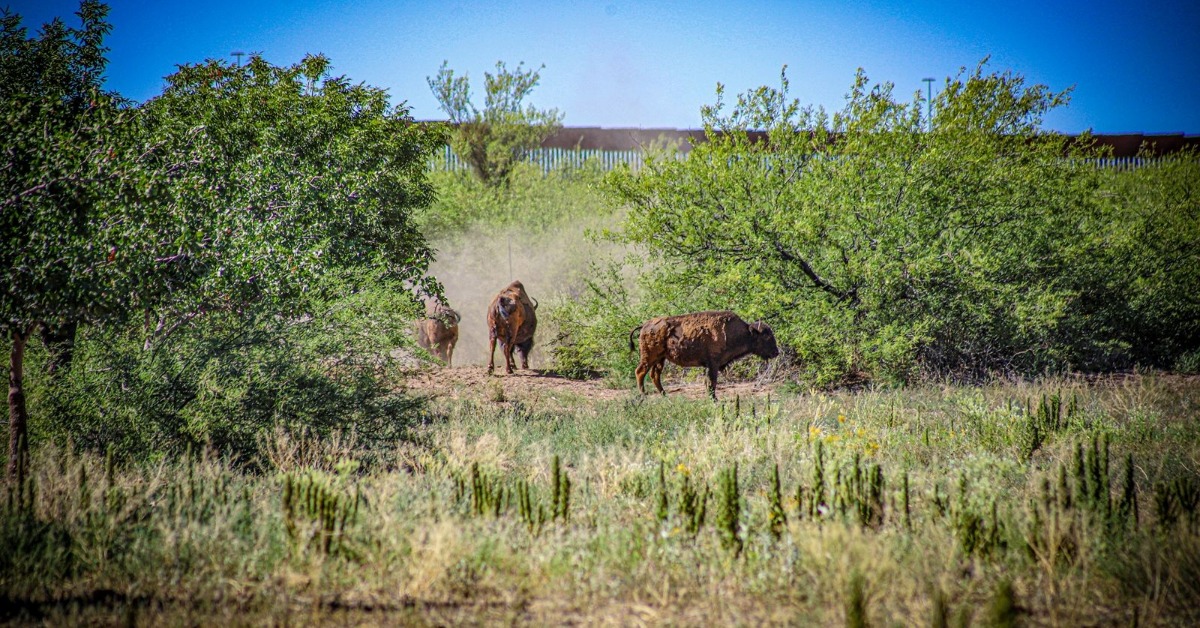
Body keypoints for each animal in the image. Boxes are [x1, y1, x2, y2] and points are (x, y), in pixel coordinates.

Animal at [629, 311, 778, 399]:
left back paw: (664, 394)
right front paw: (714, 399)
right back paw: (644, 394)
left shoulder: (709, 366)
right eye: (766, 336)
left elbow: (708, 383)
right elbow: (712, 383)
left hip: (660, 359)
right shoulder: (713, 364)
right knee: (640, 372)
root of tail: (645, 325)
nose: (776, 352)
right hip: (649, 357)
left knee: (654, 375)